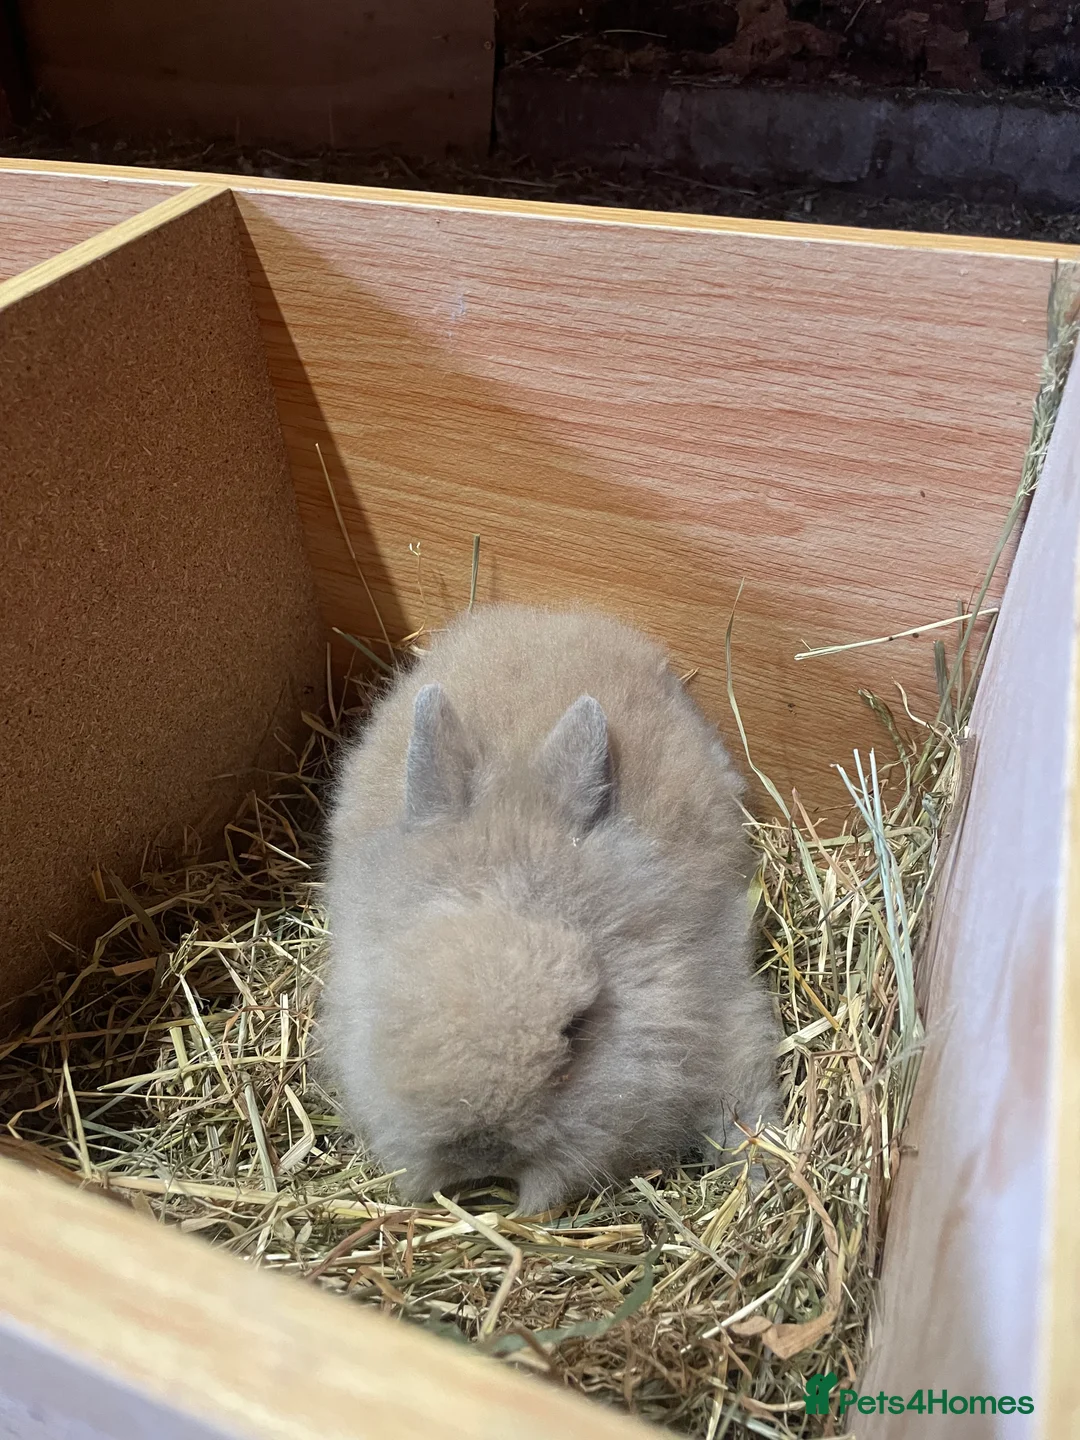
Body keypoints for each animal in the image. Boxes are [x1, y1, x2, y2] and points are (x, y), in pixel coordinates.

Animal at [321, 604, 782, 1215]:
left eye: (576, 1028)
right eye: (397, 1007)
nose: (481, 1152)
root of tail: (551, 617)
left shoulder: (720, 991)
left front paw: (759, 1172)